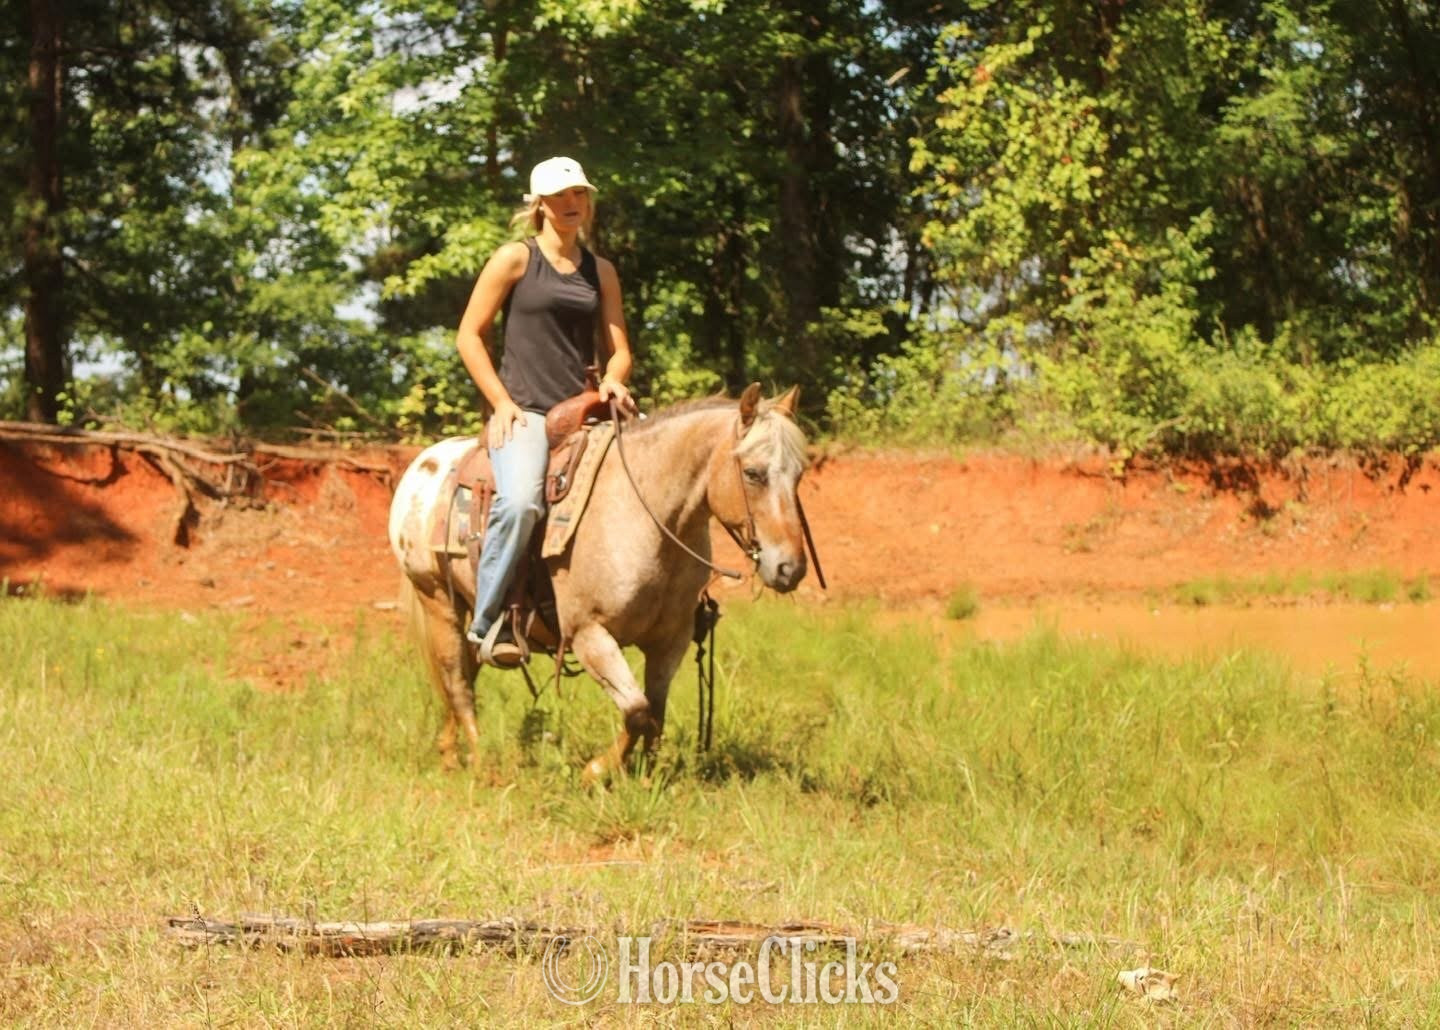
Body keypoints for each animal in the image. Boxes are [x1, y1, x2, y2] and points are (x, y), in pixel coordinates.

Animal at [387, 383, 810, 781]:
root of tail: (423, 465)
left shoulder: (670, 640)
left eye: (799, 475)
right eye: (753, 473)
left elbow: (654, 713)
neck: (645, 514)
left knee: (463, 671)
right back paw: (478, 762)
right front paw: (597, 771)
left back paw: (448, 753)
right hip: (437, 599)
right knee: (456, 678)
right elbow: (638, 711)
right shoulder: (588, 634)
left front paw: (647, 780)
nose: (790, 568)